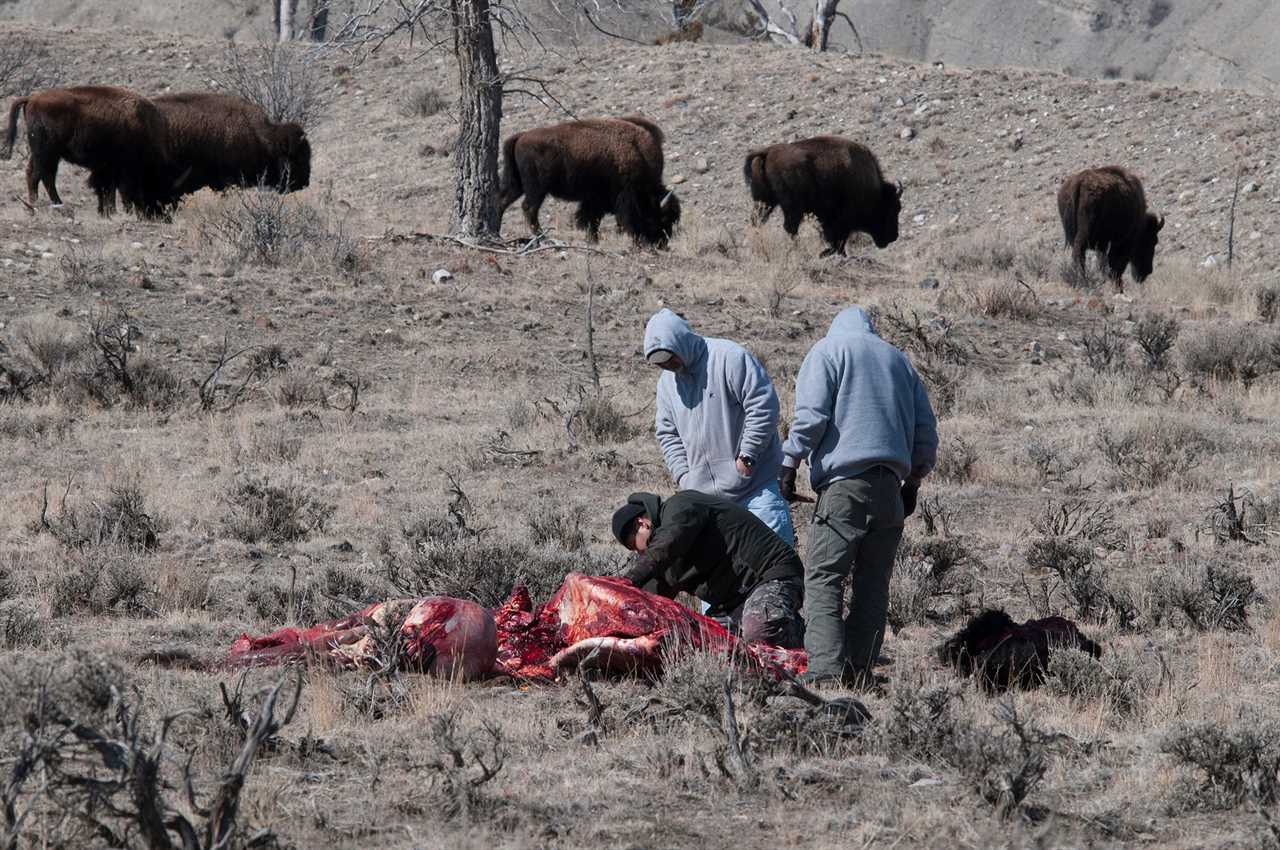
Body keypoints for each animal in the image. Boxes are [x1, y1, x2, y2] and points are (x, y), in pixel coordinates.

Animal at [3, 85, 174, 217]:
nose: (163, 213)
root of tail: (32, 98)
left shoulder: (109, 168)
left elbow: (109, 189)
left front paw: (110, 212)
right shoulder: (120, 168)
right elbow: (115, 189)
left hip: (48, 154)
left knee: (42, 175)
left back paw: (54, 204)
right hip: (46, 152)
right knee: (37, 175)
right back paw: (38, 206)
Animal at [496, 114, 680, 245]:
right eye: (663, 217)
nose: (662, 244)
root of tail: (521, 136)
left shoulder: (594, 199)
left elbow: (590, 219)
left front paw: (593, 240)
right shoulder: (618, 197)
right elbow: (598, 219)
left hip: (517, 184)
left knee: (502, 201)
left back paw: (498, 233)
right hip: (537, 188)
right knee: (529, 208)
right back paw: (541, 237)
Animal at [742, 134, 901, 256]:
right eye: (893, 209)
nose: (894, 237)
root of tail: (767, 152)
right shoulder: (838, 219)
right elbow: (838, 239)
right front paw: (827, 253)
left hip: (765, 201)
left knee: (758, 222)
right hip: (791, 207)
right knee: (789, 227)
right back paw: (800, 252)